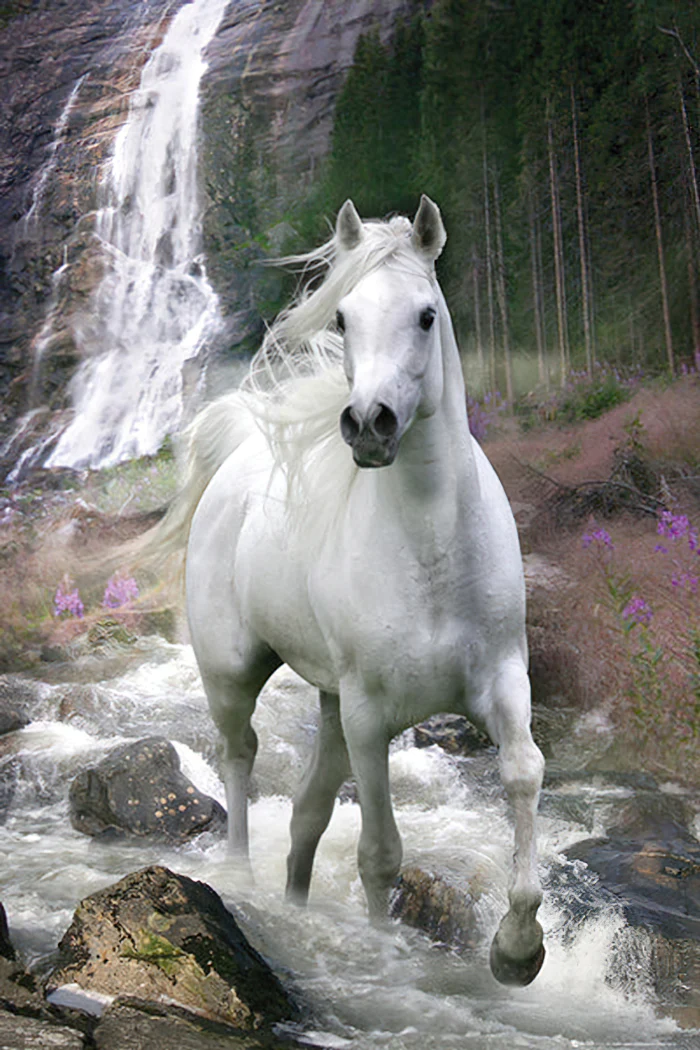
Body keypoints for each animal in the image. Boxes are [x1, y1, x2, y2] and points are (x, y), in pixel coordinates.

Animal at [158, 195, 545, 986]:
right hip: (234, 674)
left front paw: (518, 950)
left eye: (425, 314)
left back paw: (295, 901)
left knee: (307, 810)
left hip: (331, 701)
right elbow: (379, 853)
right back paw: (239, 877)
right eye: (341, 318)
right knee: (240, 756)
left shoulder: (503, 680)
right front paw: (384, 954)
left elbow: (523, 772)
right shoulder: (372, 718)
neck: (431, 552)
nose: (369, 424)